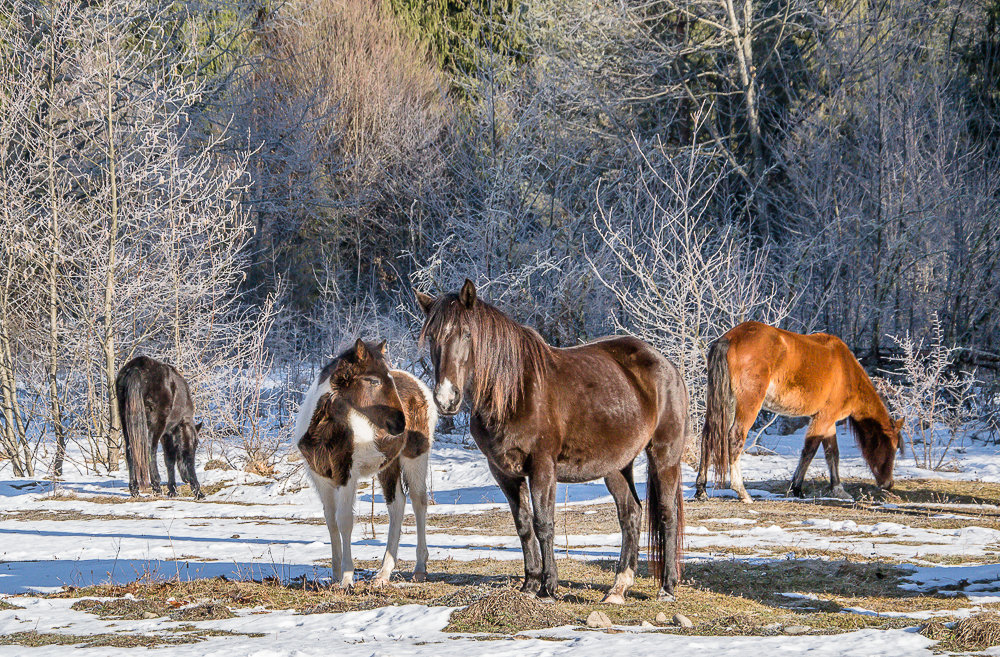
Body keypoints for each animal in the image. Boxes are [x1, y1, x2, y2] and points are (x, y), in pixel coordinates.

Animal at [416, 280, 688, 604]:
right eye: (432, 337)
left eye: (466, 333)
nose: (446, 399)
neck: (515, 391)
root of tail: (666, 364)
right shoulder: (504, 472)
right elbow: (523, 525)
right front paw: (530, 584)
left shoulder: (542, 467)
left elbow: (543, 524)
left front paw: (548, 587)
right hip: (616, 465)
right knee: (630, 514)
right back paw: (618, 588)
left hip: (664, 455)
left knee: (667, 515)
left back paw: (667, 587)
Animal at [696, 322, 900, 502]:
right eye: (891, 447)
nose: (889, 484)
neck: (846, 371)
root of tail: (729, 338)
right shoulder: (823, 418)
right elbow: (809, 450)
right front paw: (796, 488)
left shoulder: (827, 420)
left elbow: (832, 453)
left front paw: (838, 489)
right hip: (747, 405)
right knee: (734, 438)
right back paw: (742, 491)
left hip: (725, 404)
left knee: (708, 438)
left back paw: (701, 489)